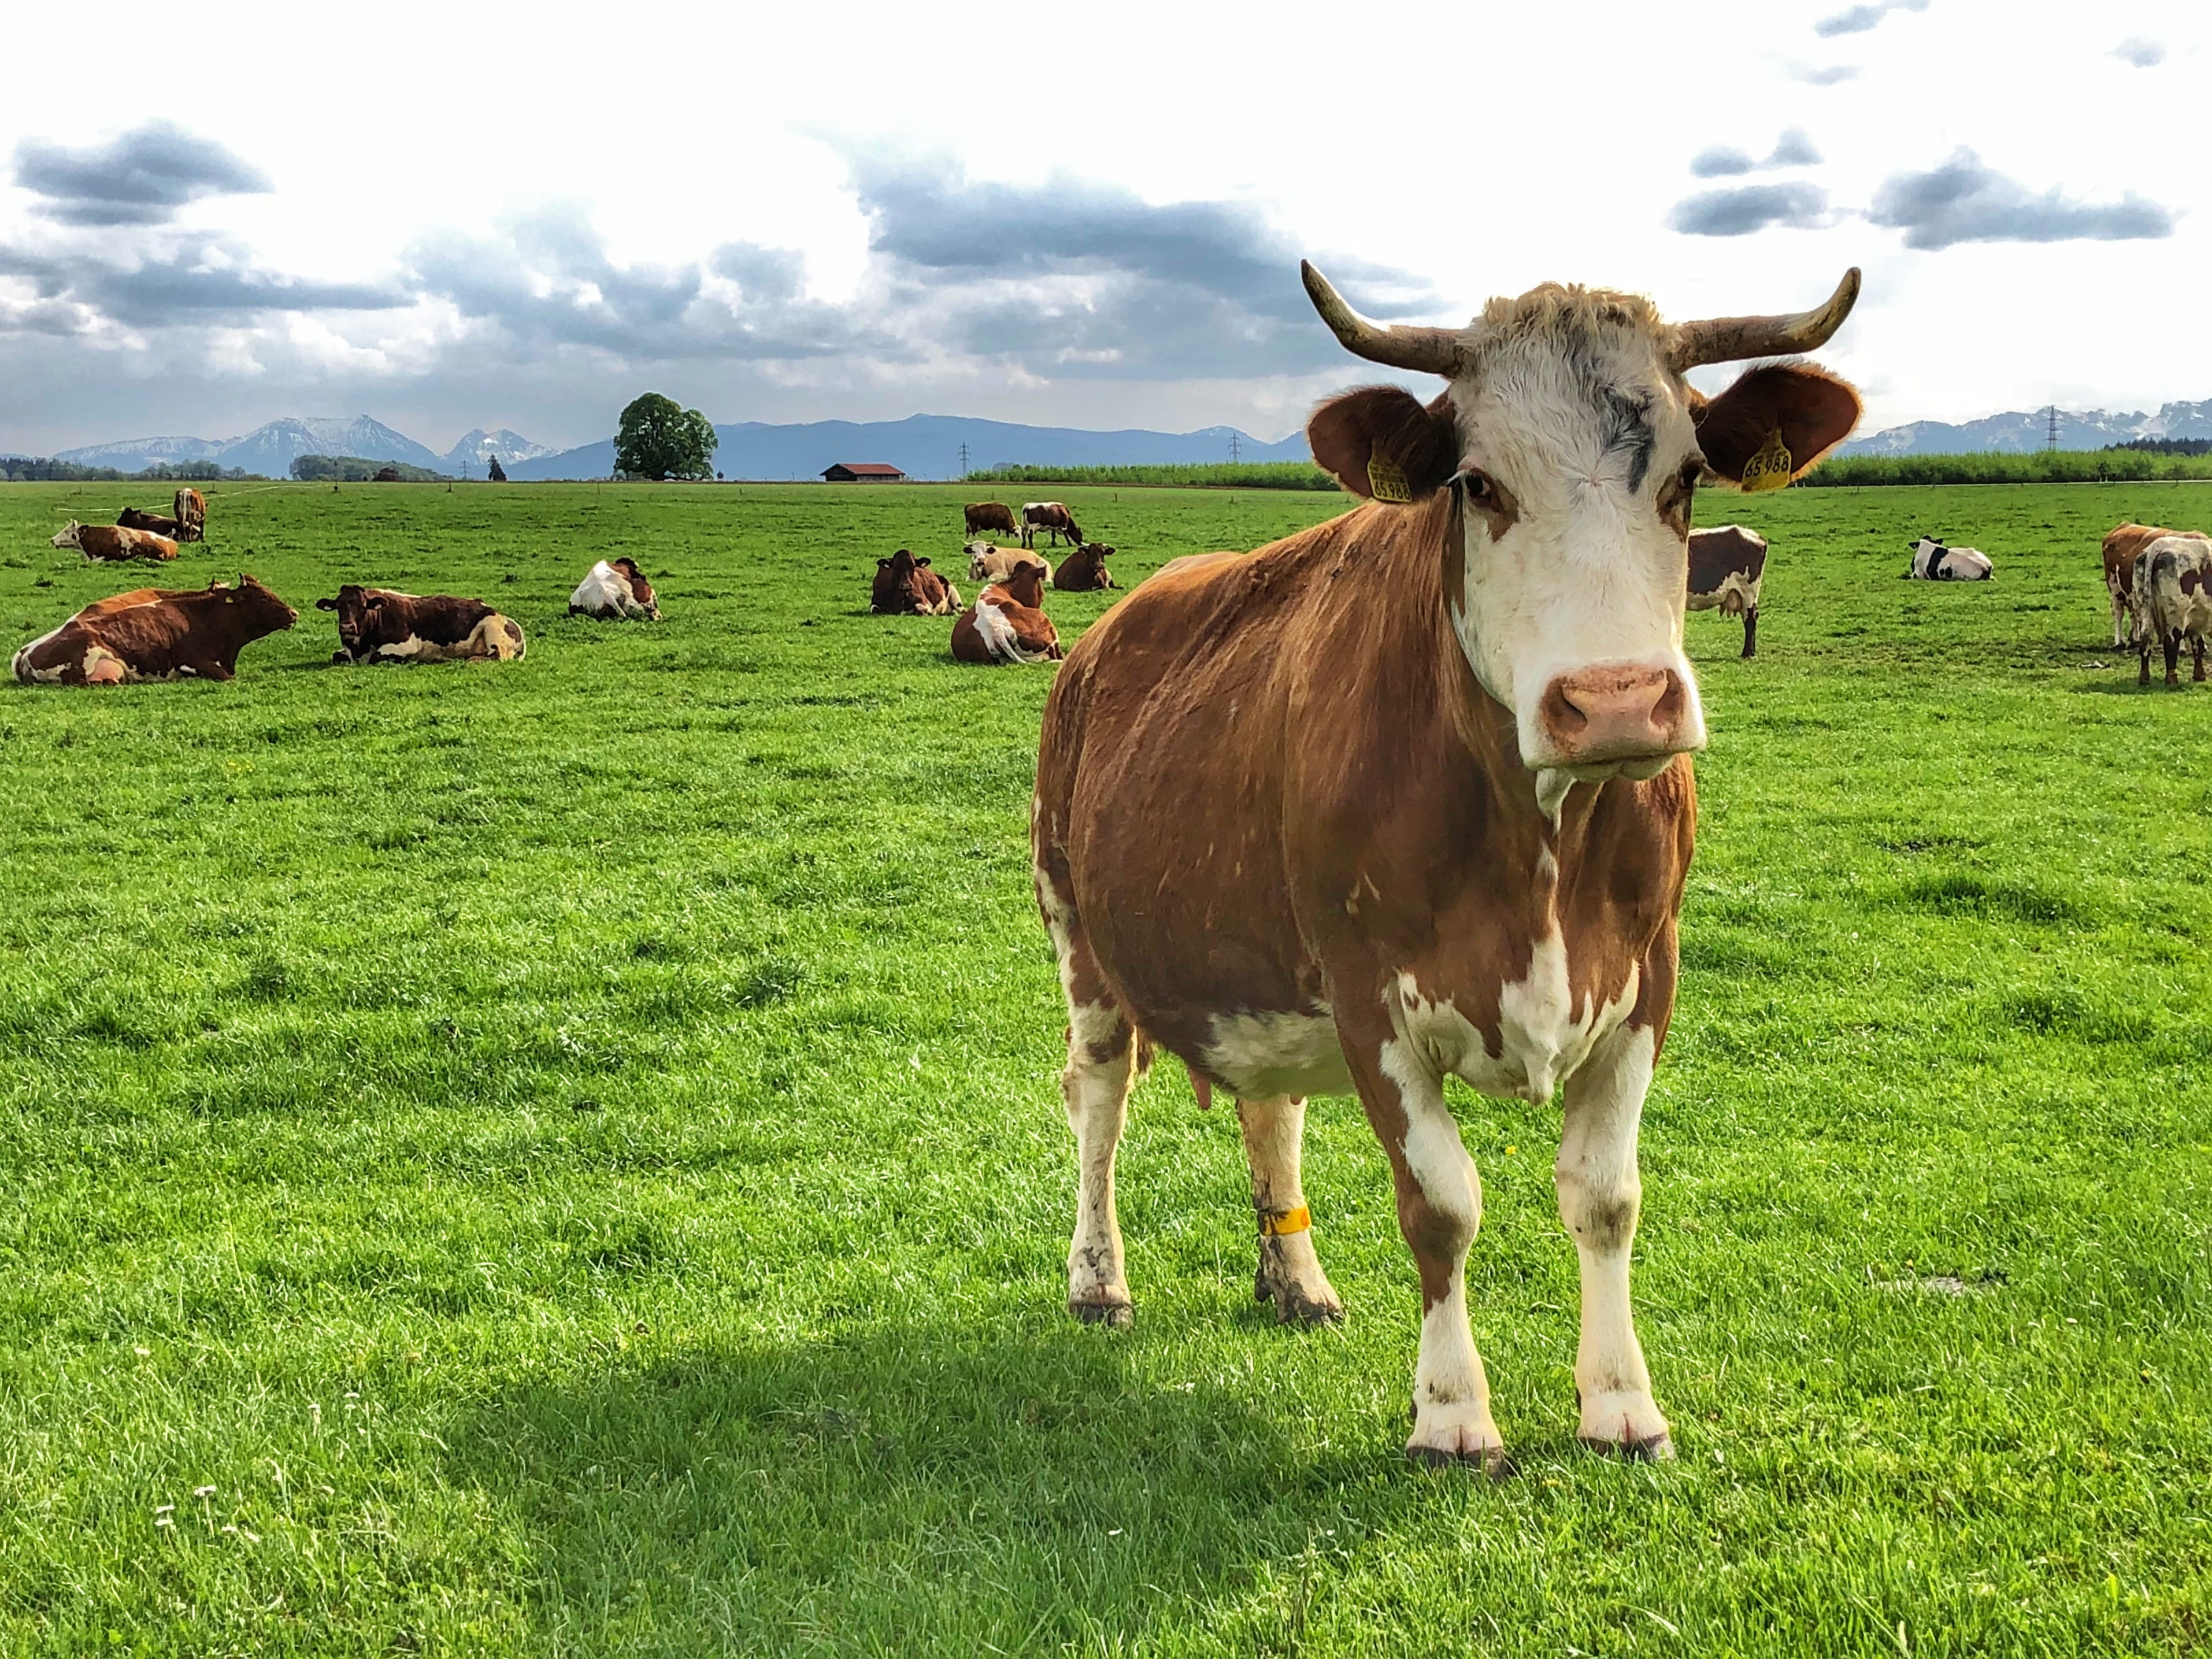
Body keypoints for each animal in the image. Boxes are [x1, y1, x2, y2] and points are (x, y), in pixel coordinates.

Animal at [315, 585, 526, 664]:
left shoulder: (405, 645)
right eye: (338, 606)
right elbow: (336, 656)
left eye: (363, 606)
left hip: (493, 630)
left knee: (495, 656)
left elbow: (377, 657)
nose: (347, 627)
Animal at [871, 549, 961, 616]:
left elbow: (920, 609)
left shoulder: (925, 602)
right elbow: (874, 609)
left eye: (914, 566)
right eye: (895, 567)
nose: (906, 585)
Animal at [966, 541, 1052, 585]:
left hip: (1046, 567)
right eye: (973, 551)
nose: (981, 559)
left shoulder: (1001, 573)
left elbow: (990, 579)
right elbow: (967, 579)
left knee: (1048, 581)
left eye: (986, 551)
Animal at [2101, 522, 2208, 647]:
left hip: (2131, 591)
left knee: (2133, 612)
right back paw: (2120, 642)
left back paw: (2136, 639)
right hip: (2114, 585)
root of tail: (2124, 525)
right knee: (2118, 611)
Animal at [2131, 535, 2212, 687]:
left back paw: (2144, 678)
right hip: (2176, 615)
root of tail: (2160, 544)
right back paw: (2172, 680)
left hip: (2145, 611)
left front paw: (2199, 676)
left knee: (2145, 641)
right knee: (2171, 643)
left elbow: (2197, 645)